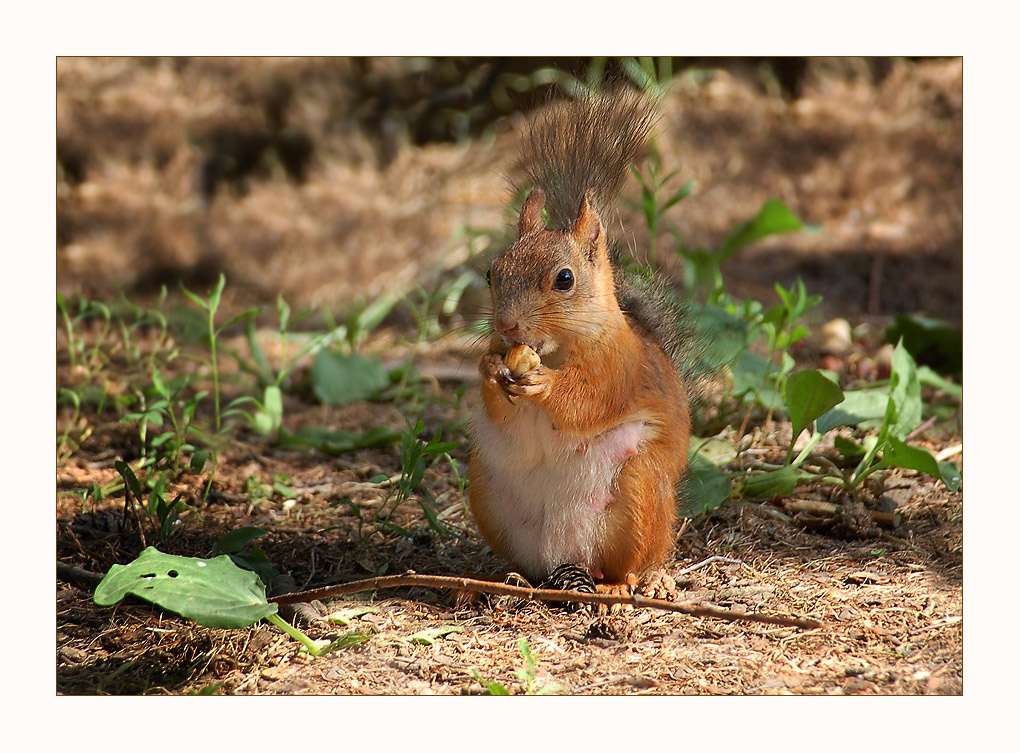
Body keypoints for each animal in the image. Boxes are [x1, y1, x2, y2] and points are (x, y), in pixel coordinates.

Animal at [467, 92, 693, 597]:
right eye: (492, 273)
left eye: (565, 280)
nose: (507, 327)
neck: (556, 348)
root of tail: (565, 554)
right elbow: (498, 407)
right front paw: (490, 369)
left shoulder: (617, 368)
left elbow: (586, 401)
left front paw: (545, 385)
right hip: (484, 488)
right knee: (525, 563)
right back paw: (498, 579)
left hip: (640, 487)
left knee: (632, 561)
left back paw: (624, 586)